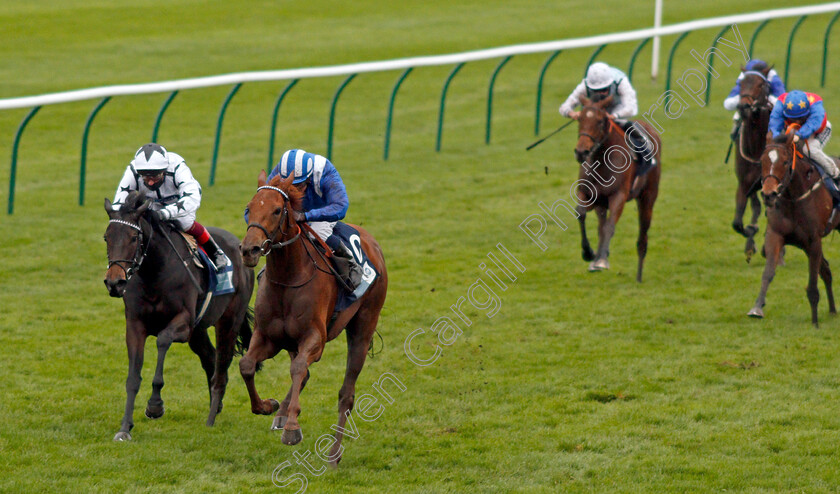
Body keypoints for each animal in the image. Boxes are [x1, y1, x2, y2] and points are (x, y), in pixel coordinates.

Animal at [103, 192, 253, 440]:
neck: (154, 273)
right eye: (107, 237)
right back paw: (217, 406)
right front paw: (125, 428)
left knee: (222, 363)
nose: (115, 283)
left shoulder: (183, 323)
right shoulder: (135, 325)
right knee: (210, 357)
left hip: (229, 320)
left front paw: (155, 405)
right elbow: (133, 378)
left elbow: (163, 341)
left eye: (134, 237)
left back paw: (212, 415)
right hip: (199, 331)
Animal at [238, 172, 388, 466]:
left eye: (277, 210)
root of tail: (372, 242)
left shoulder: (315, 338)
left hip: (363, 327)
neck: (288, 278)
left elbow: (298, 369)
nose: (249, 249)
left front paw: (292, 429)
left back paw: (333, 454)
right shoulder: (268, 336)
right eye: (249, 207)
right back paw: (281, 414)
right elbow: (247, 365)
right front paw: (268, 406)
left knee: (346, 394)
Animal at [576, 95, 660, 282]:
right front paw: (588, 253)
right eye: (580, 119)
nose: (581, 152)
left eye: (600, 121)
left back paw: (639, 276)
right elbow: (582, 214)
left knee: (642, 238)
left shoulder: (618, 196)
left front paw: (600, 261)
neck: (602, 161)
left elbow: (609, 227)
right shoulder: (588, 193)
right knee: (601, 227)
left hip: (648, 199)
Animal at [748, 131, 832, 326]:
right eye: (762, 161)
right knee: (826, 271)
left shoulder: (814, 241)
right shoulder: (775, 234)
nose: (769, 194)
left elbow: (812, 282)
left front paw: (815, 322)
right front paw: (757, 307)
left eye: (785, 162)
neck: (793, 199)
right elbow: (768, 273)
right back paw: (833, 311)